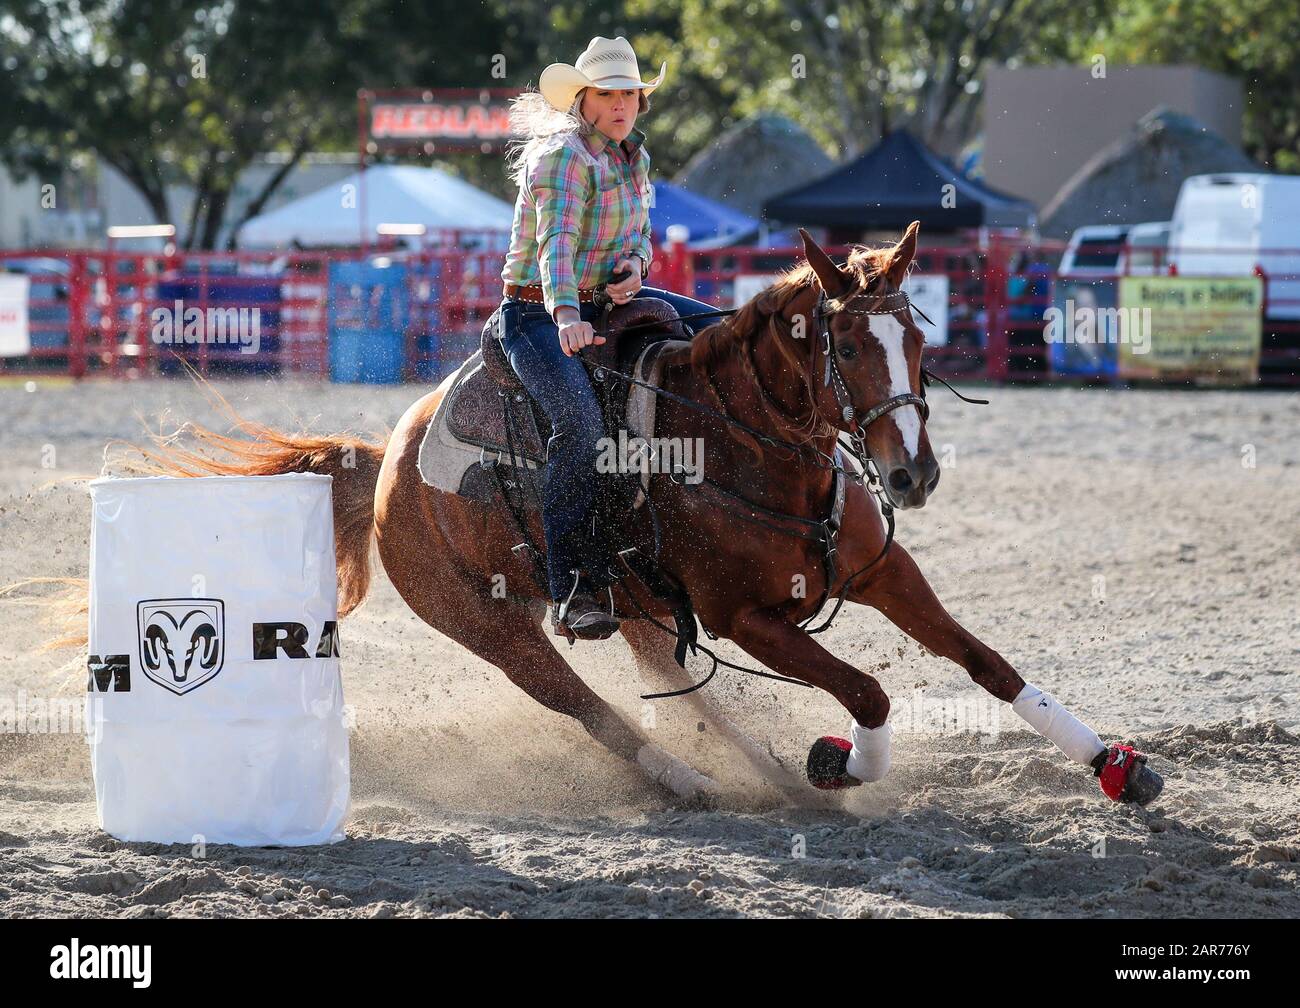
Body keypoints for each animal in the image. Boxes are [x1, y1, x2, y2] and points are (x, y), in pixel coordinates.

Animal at [131, 225, 1164, 806]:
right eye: (842, 343)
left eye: (915, 334)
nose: (912, 474)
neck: (751, 455)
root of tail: (387, 464)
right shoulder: (751, 618)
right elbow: (868, 691)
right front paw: (843, 764)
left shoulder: (881, 573)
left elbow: (990, 666)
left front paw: (1114, 765)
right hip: (490, 627)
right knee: (583, 705)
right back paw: (692, 781)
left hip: (634, 604)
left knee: (683, 687)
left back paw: (766, 775)